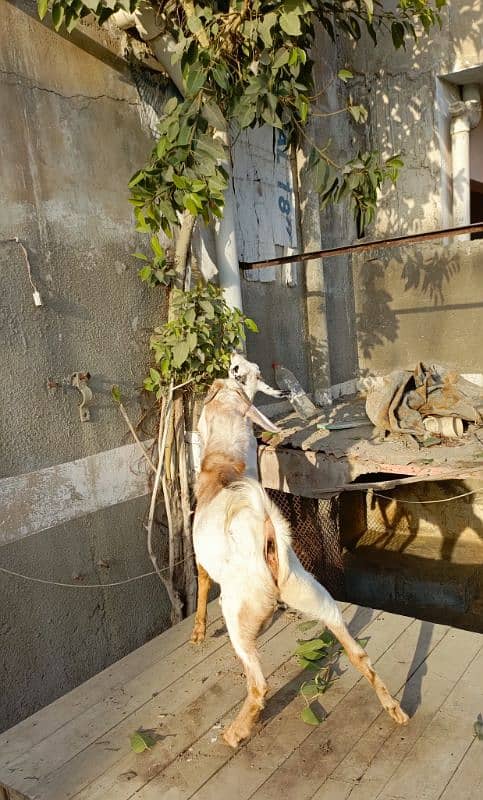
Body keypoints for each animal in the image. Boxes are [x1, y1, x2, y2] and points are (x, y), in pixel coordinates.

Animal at [190, 370, 408, 752]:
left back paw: (236, 732)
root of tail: (267, 533)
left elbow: (201, 590)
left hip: (237, 614)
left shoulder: (201, 562)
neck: (223, 463)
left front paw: (198, 632)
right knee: (358, 654)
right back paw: (393, 708)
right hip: (317, 597)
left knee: (259, 685)